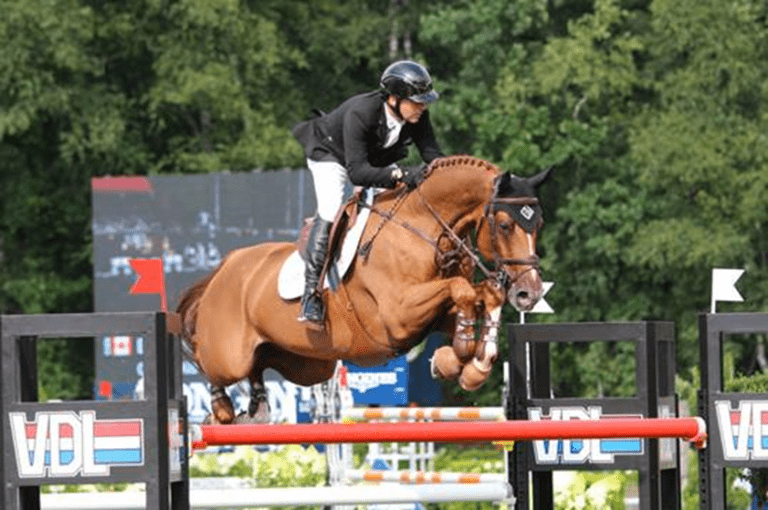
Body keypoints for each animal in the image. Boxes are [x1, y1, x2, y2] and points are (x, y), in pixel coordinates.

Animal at [178, 153, 552, 424]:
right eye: (504, 225)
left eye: (539, 224)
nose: (529, 293)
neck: (424, 229)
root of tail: (224, 266)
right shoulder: (398, 315)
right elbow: (462, 289)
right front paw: (460, 354)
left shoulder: (433, 315)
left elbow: (481, 297)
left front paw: (466, 365)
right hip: (229, 356)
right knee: (208, 362)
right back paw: (222, 409)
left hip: (307, 365)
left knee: (258, 367)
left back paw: (256, 406)